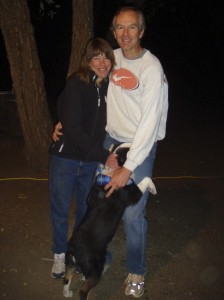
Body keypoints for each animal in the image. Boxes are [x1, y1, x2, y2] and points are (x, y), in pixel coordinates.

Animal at [63, 145, 156, 298]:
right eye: (127, 153)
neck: (111, 173)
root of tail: (73, 248)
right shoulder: (133, 194)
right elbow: (145, 179)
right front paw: (153, 189)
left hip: (70, 264)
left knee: (66, 279)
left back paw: (67, 293)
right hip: (95, 268)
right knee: (83, 290)